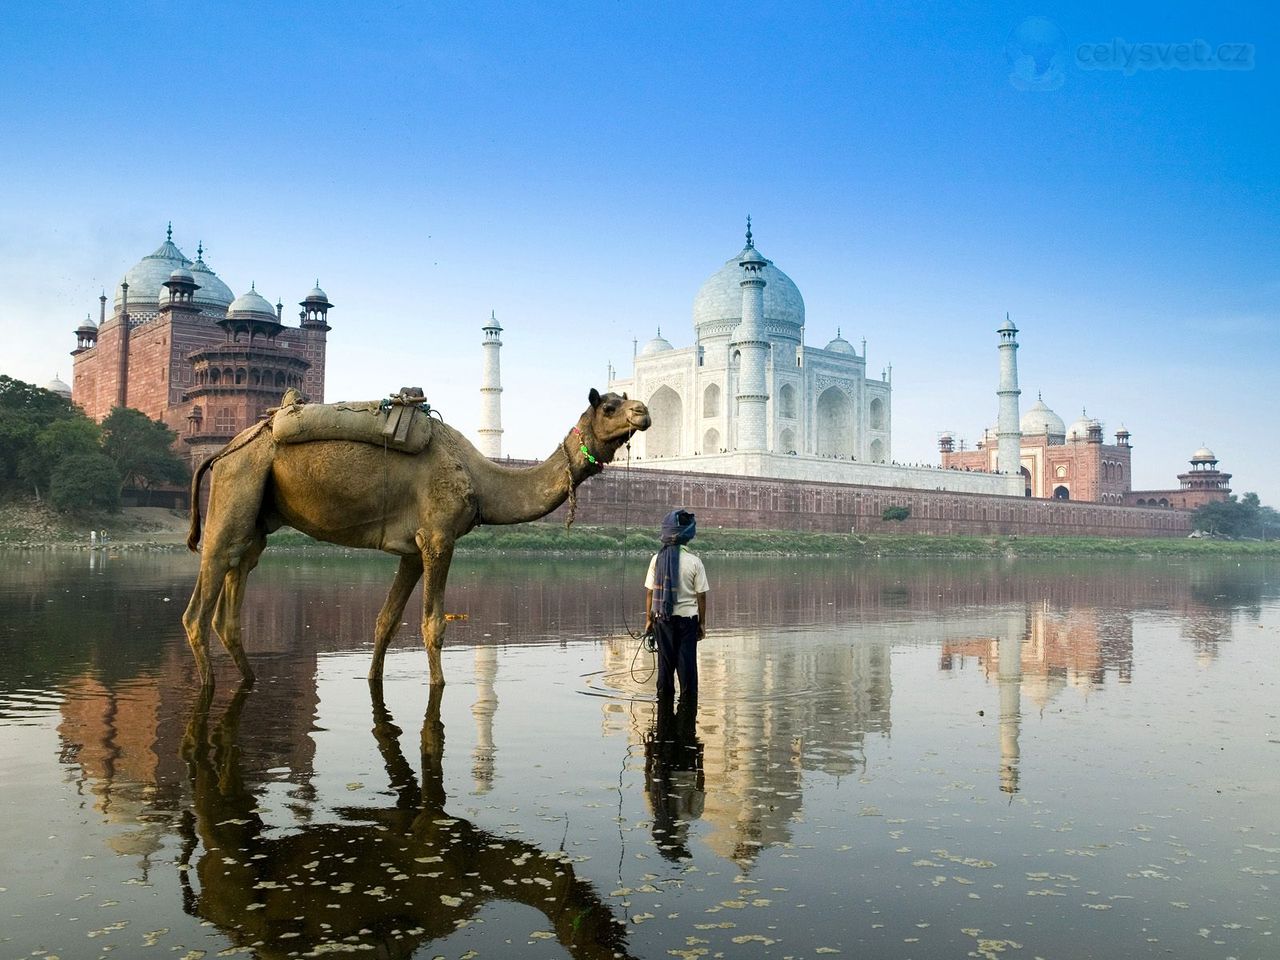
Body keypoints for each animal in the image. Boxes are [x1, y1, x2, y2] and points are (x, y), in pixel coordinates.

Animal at [183, 391, 650, 691]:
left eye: (627, 399)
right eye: (609, 405)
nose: (643, 411)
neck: (482, 480)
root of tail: (224, 450)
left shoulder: (411, 550)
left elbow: (386, 622)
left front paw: (372, 678)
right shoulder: (439, 537)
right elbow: (433, 625)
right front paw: (439, 685)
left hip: (257, 518)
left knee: (234, 593)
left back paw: (249, 679)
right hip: (237, 485)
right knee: (199, 604)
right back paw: (208, 686)